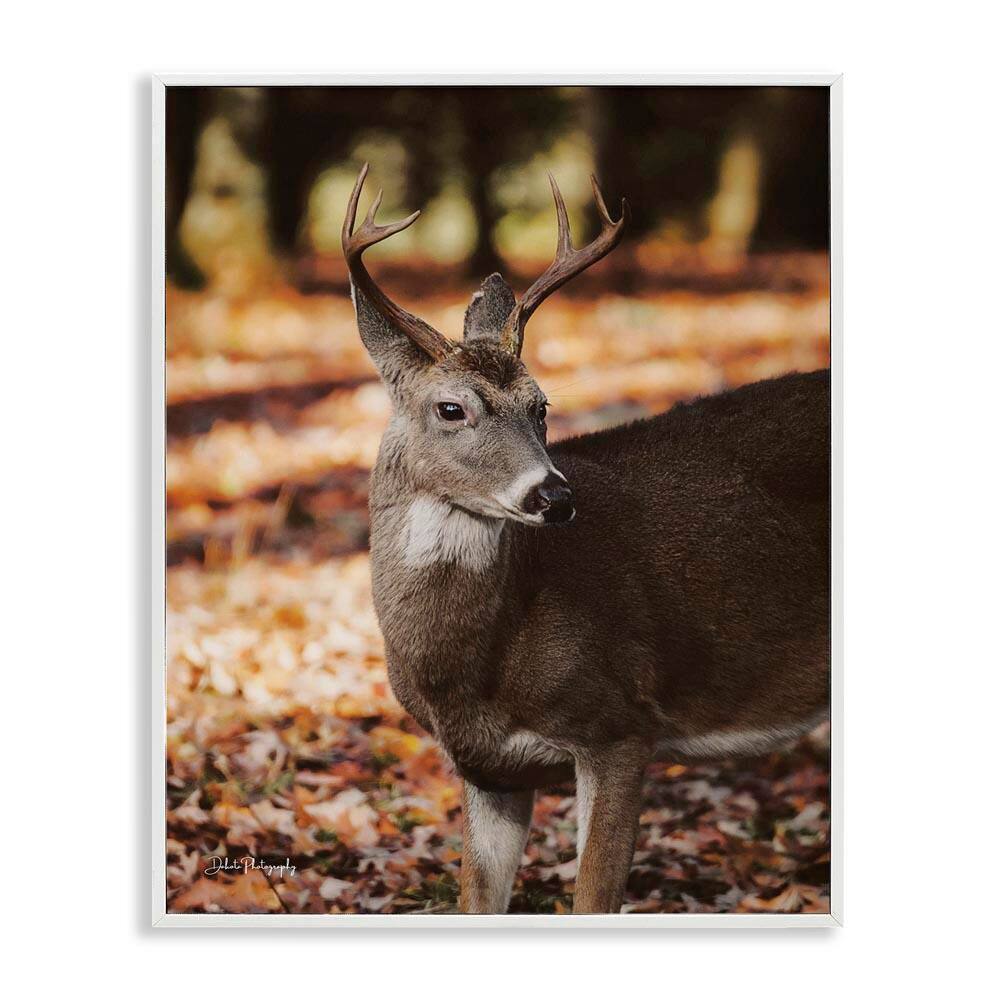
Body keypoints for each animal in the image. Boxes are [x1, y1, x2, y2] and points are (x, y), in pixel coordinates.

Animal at [341, 164, 830, 914]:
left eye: (542, 407)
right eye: (451, 408)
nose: (555, 496)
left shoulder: (622, 723)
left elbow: (593, 898)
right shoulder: (489, 771)